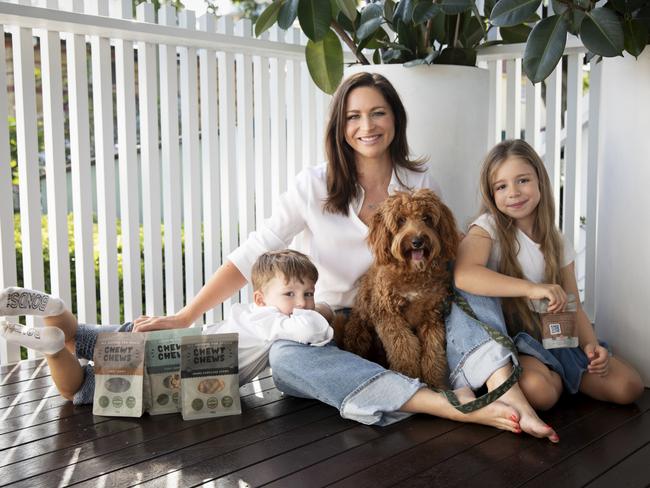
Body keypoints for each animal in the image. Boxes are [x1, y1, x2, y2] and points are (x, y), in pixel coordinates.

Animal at [336, 188, 458, 388]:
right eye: (401, 220)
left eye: (426, 218)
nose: (417, 241)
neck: (414, 274)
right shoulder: (388, 315)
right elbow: (404, 348)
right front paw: (409, 375)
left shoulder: (432, 316)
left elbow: (433, 352)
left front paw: (434, 383)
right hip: (360, 330)